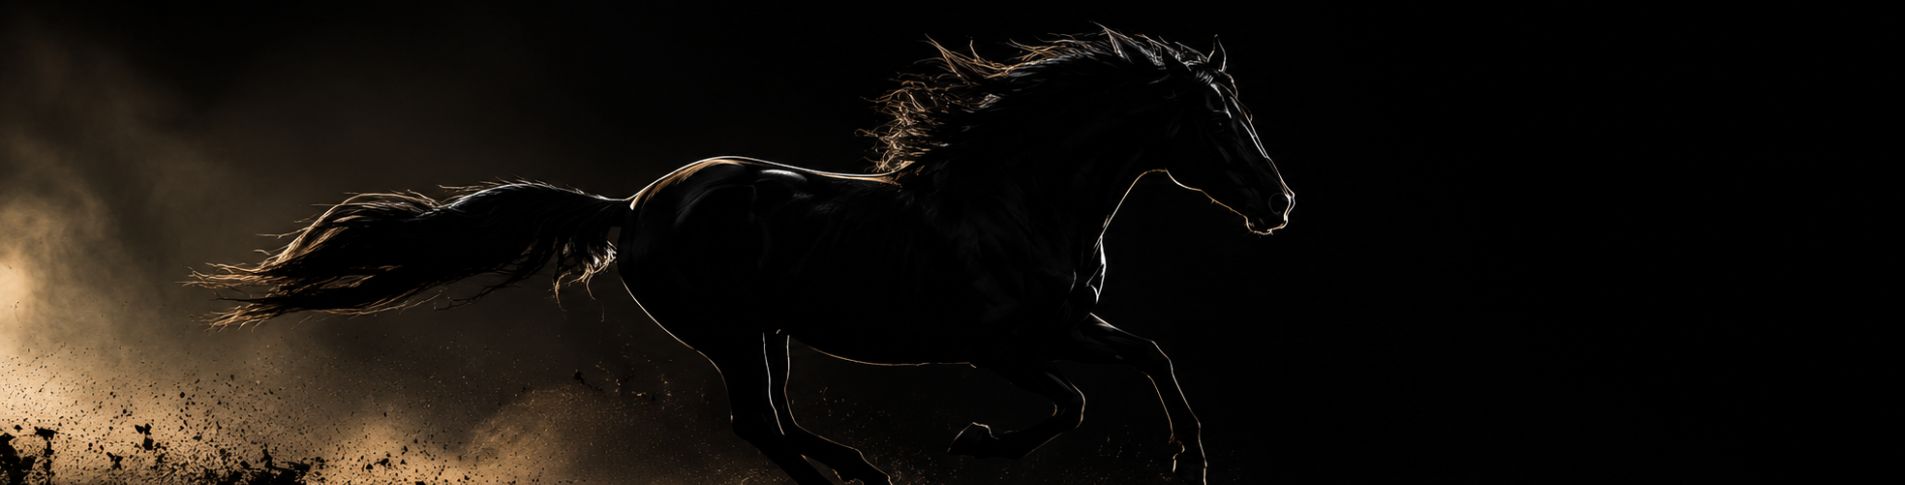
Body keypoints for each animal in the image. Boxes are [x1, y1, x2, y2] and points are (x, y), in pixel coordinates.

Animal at [190, 29, 1292, 485]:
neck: (1016, 196)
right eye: (1216, 117)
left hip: (764, 331)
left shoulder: (1068, 320)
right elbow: (1070, 402)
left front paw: (1191, 459)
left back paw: (858, 471)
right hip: (725, 330)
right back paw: (863, 475)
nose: (1280, 202)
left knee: (771, 422)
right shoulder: (1003, 343)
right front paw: (976, 440)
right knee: (757, 425)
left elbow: (1152, 355)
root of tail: (631, 205)